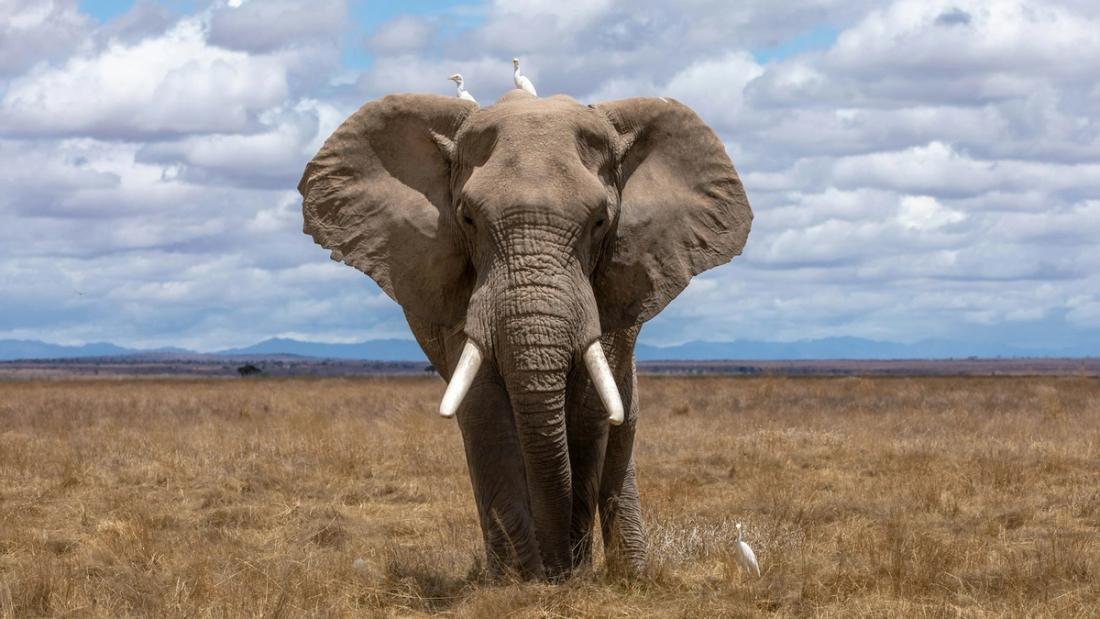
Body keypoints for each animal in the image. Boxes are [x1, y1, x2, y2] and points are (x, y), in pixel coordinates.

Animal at [298, 89, 752, 580]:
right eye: (468, 219)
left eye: (600, 221)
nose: (558, 569)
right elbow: (485, 411)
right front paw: (520, 581)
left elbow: (589, 412)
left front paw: (568, 574)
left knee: (621, 427)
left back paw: (631, 574)